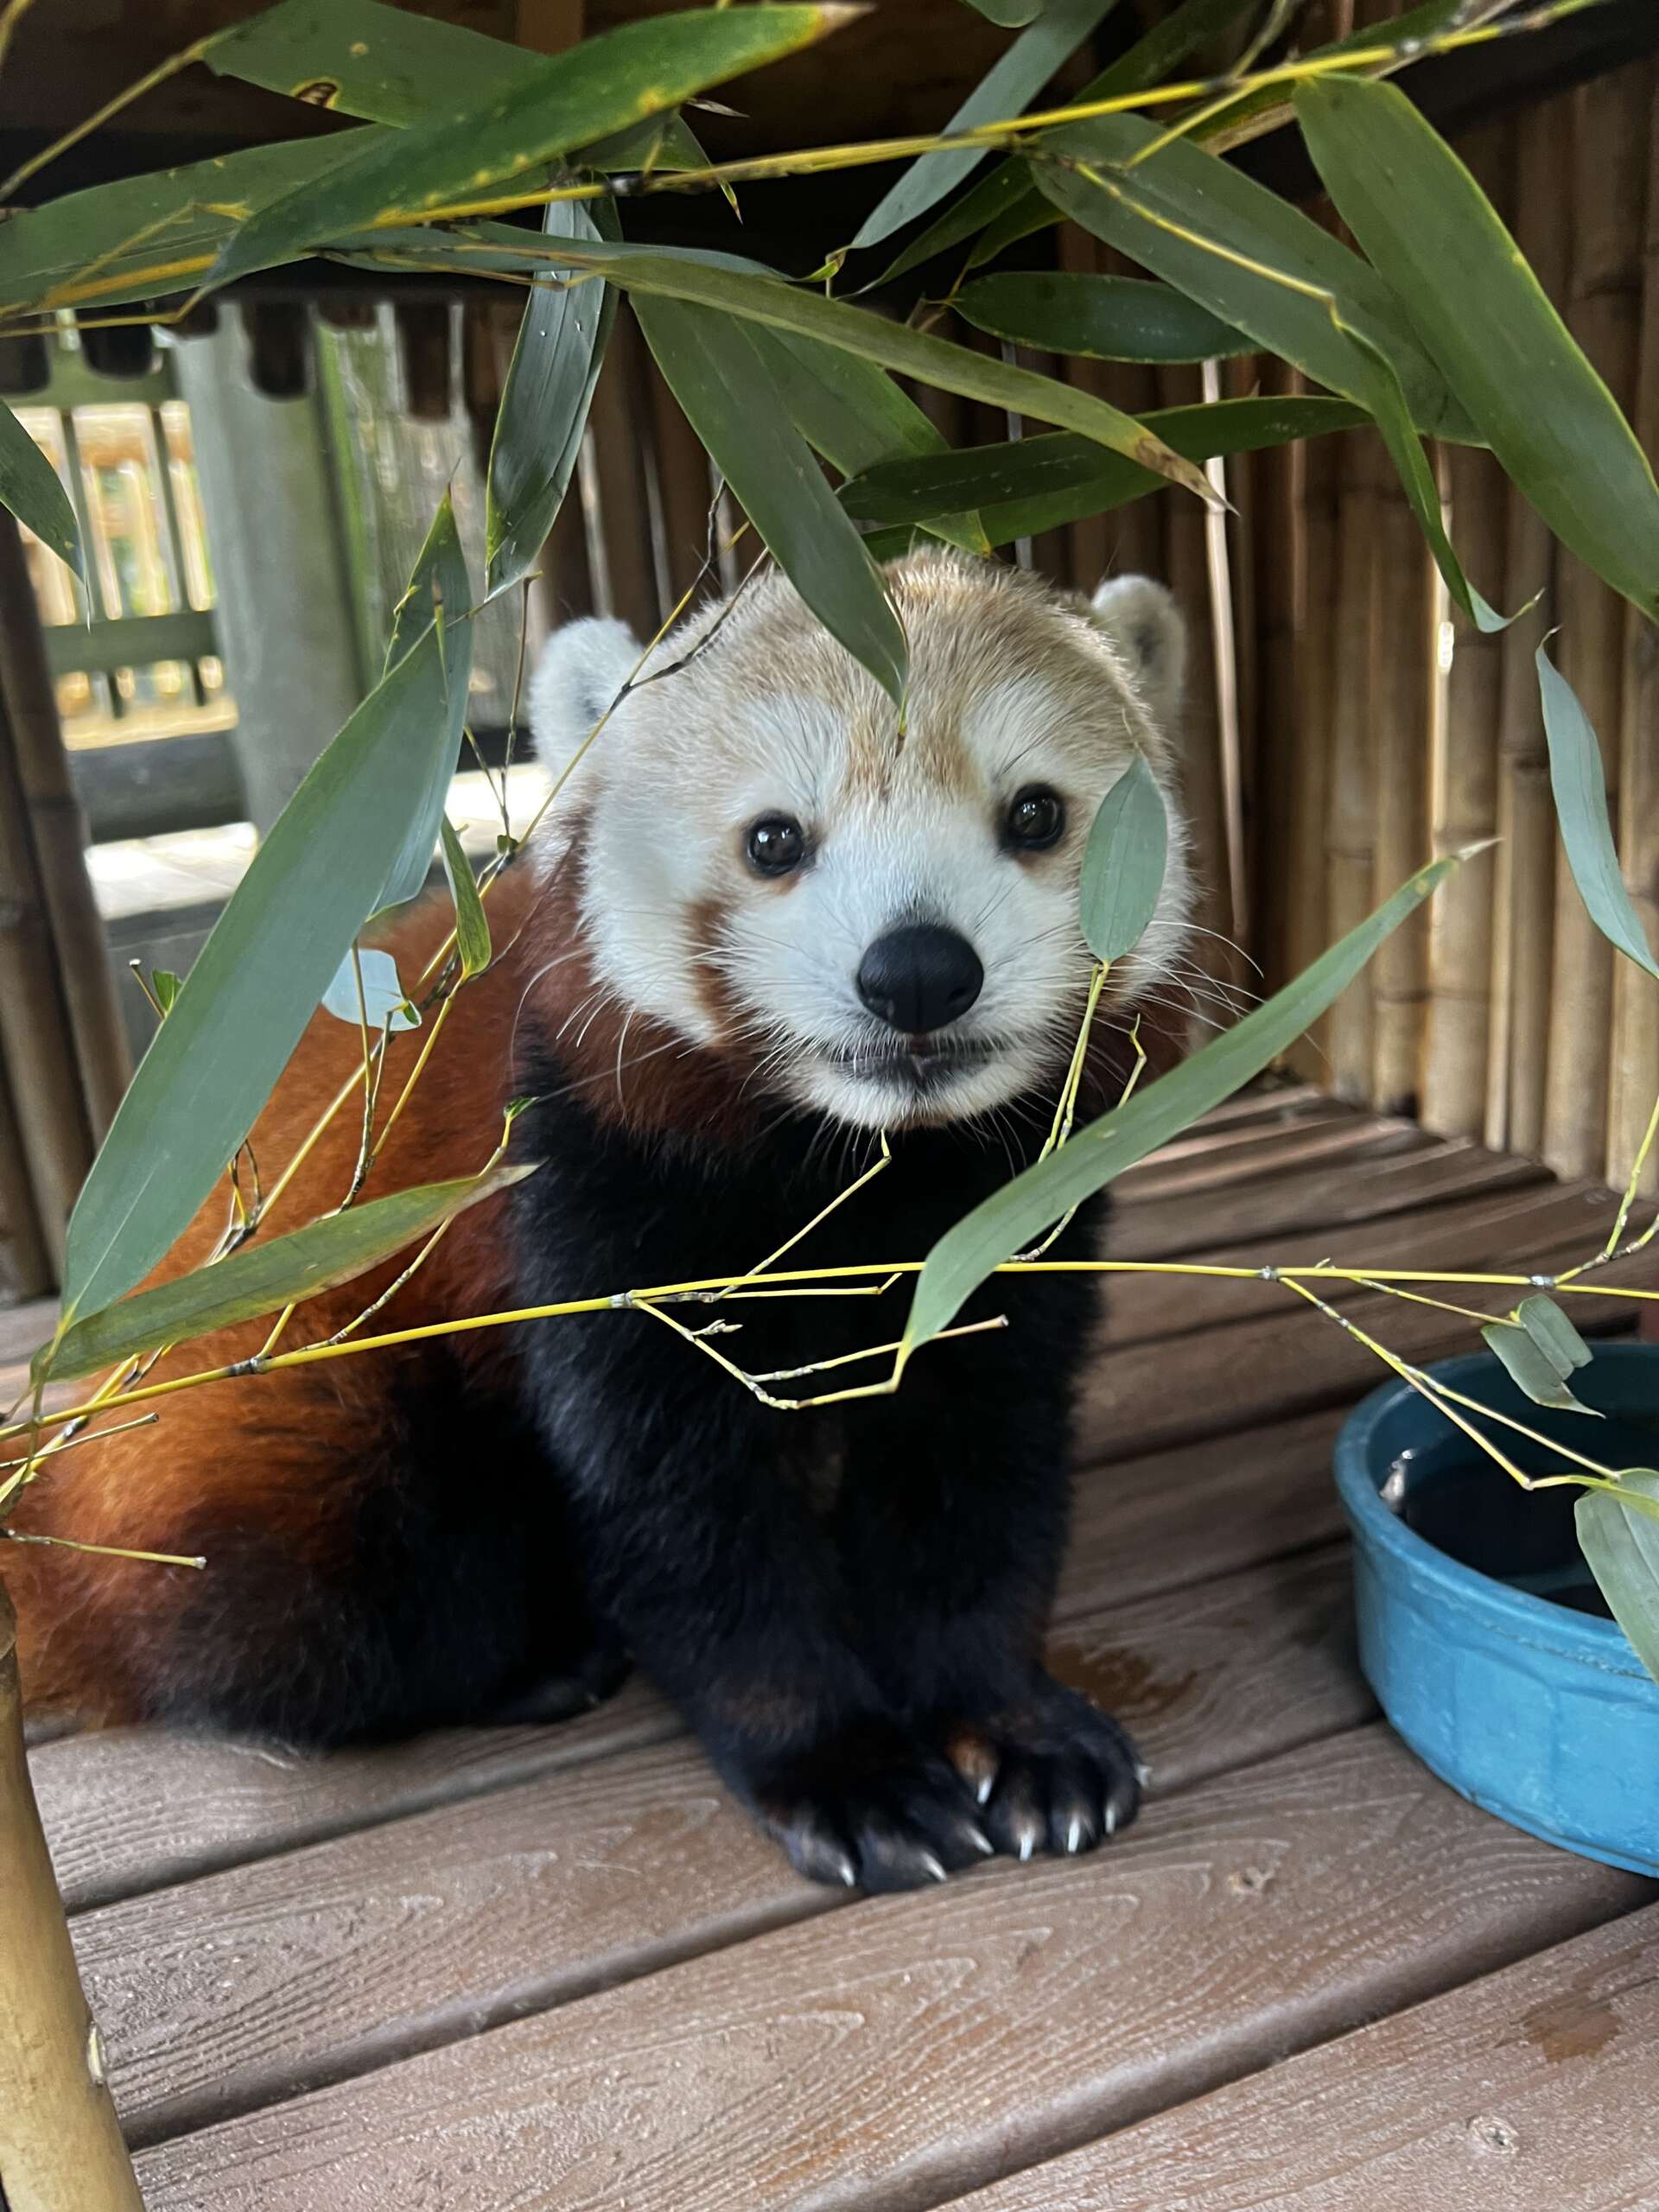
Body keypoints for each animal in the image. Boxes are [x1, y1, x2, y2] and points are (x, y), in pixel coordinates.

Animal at [6, 548, 1185, 1885]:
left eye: (1034, 816)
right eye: (774, 841)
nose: (919, 969)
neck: (861, 1168)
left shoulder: (1007, 1225)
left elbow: (977, 1475)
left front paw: (1010, 1725)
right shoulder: (592, 1191)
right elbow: (680, 1514)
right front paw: (843, 1767)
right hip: (255, 1425)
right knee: (325, 1589)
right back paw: (534, 1659)